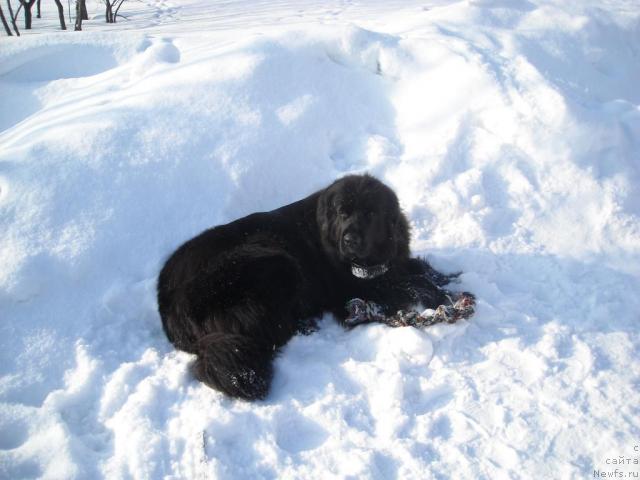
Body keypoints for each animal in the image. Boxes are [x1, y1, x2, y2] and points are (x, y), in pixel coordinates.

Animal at [159, 174, 458, 400]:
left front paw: (446, 279)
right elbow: (411, 283)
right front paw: (441, 297)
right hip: (271, 261)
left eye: (371, 214)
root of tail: (168, 306)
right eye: (343, 213)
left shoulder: (393, 264)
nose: (350, 239)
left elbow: (417, 269)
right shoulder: (353, 288)